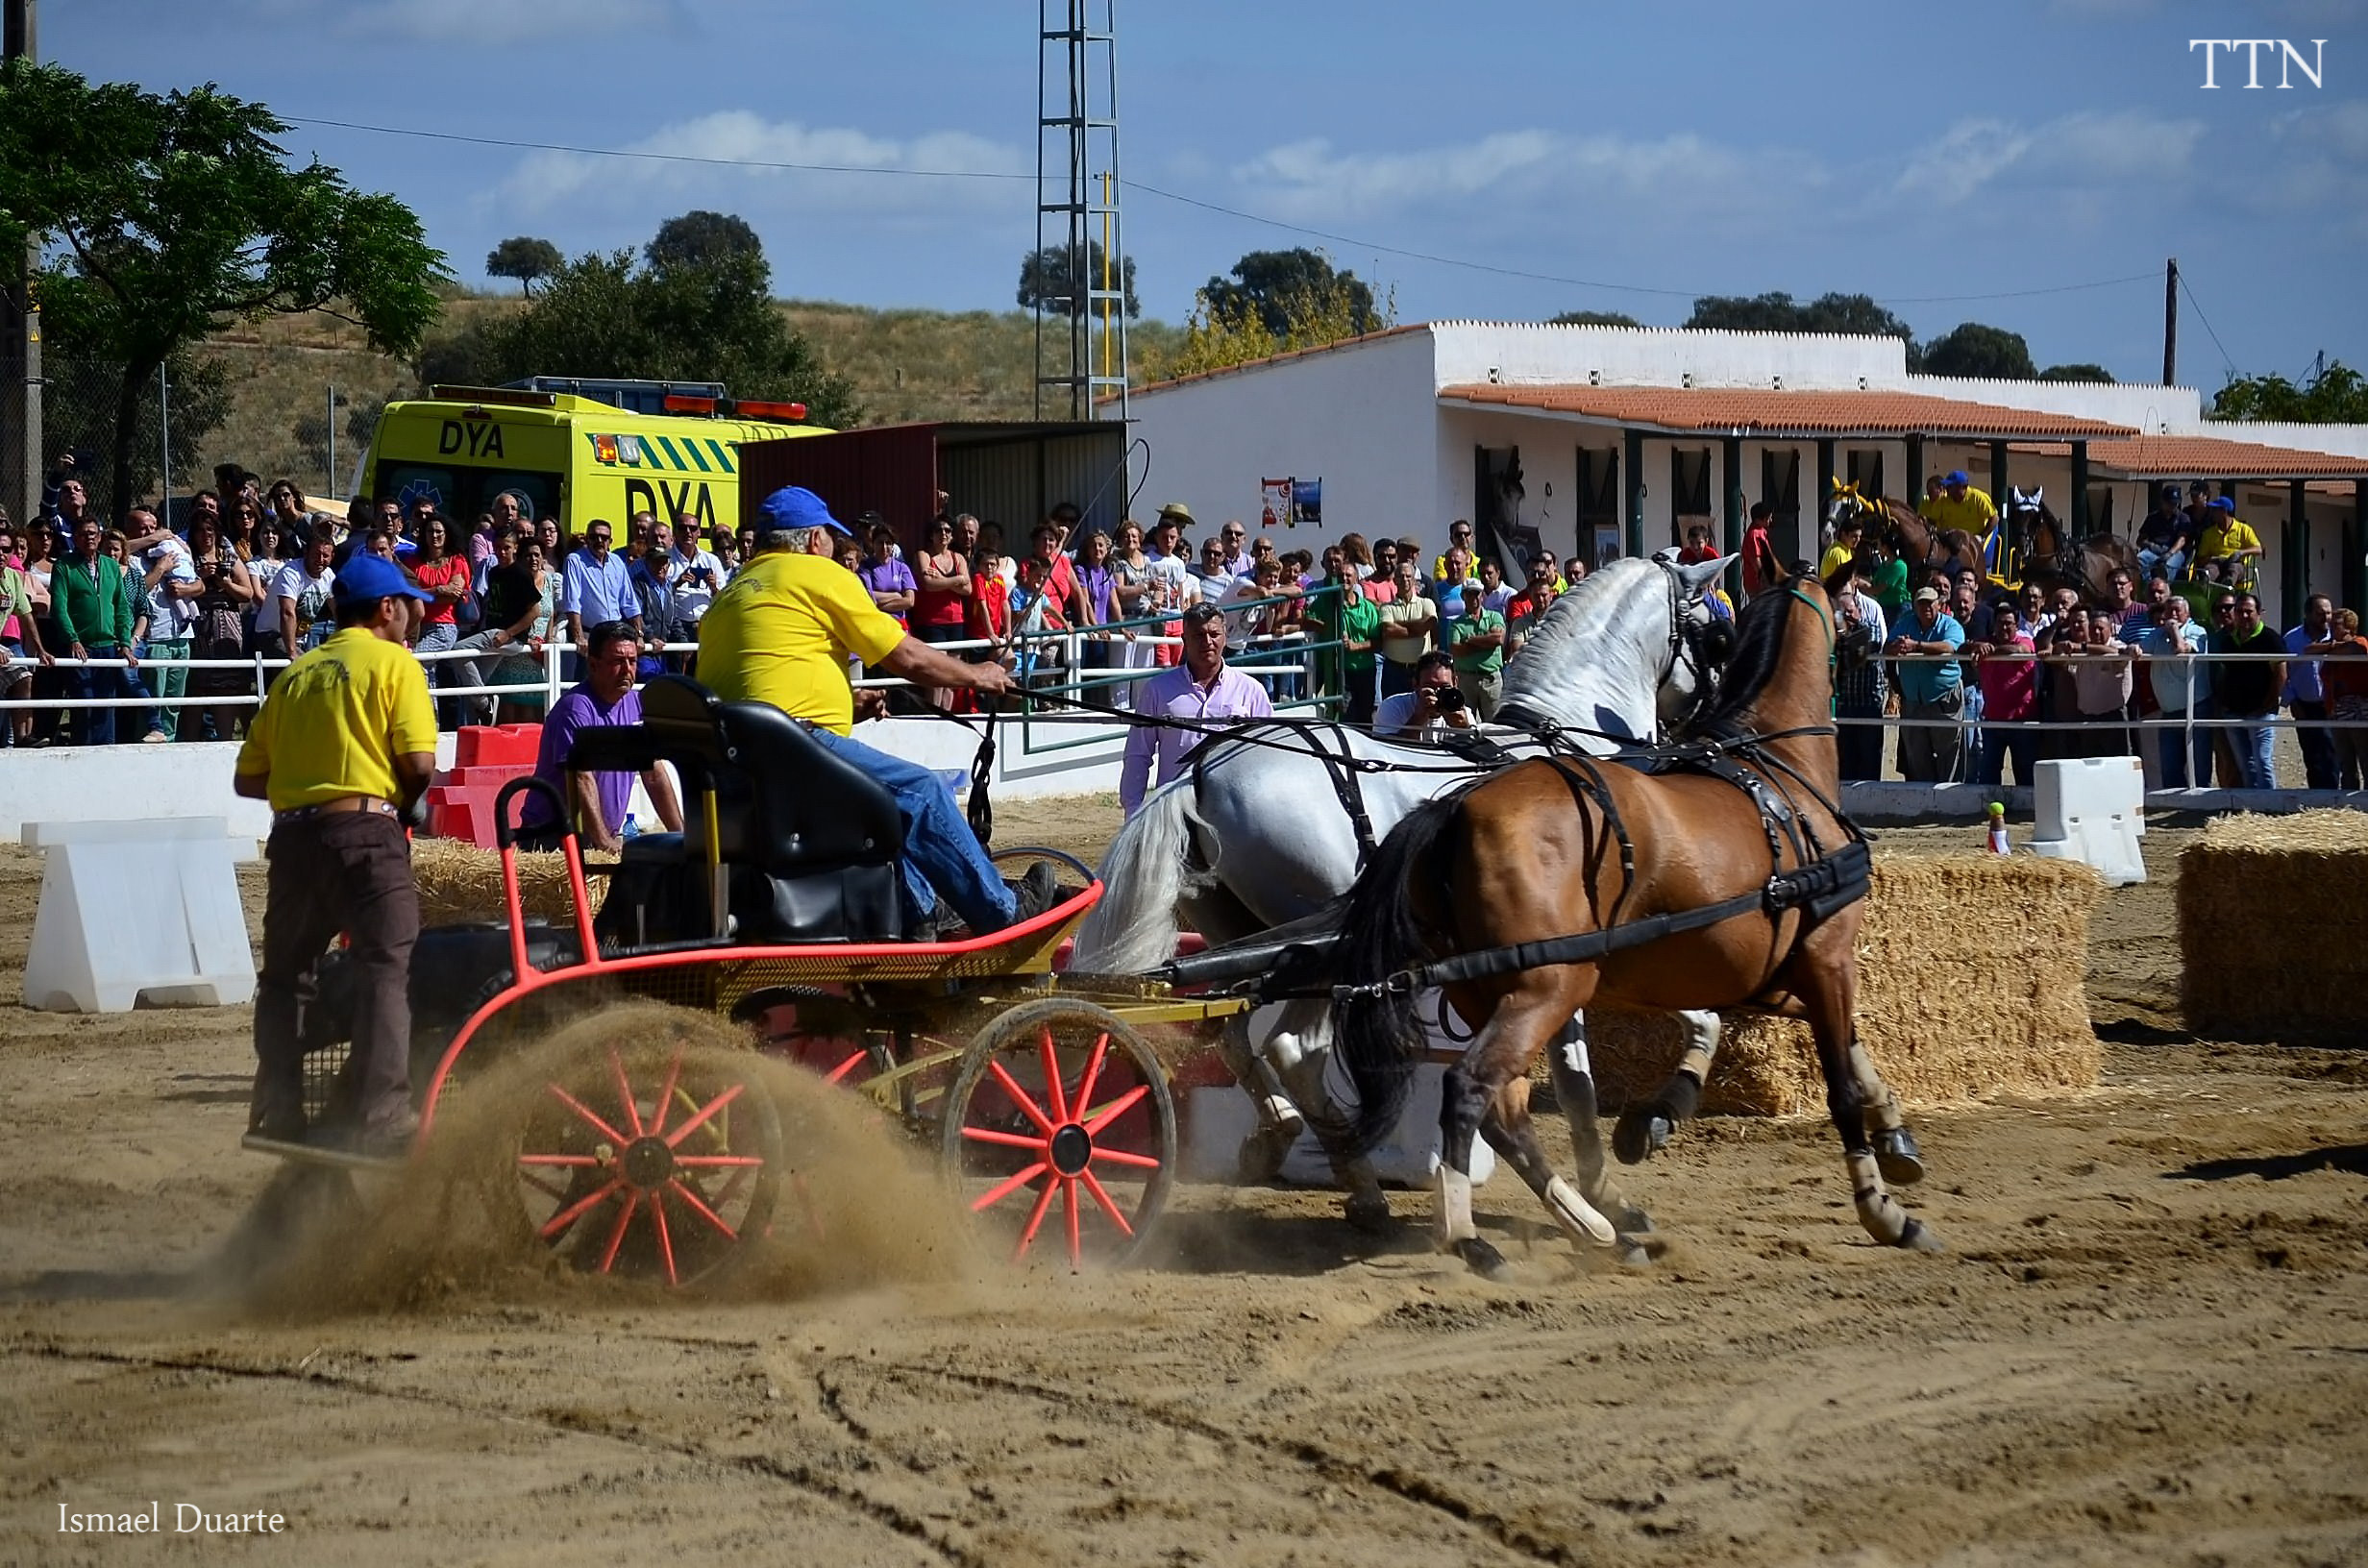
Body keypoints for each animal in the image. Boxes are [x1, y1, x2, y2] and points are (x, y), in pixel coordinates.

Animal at [1070, 556, 1723, 1240]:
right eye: (1713, 631)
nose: (1710, 720)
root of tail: (1197, 777)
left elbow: (1621, 1053)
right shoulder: (1588, 945)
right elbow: (1614, 1063)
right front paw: (1630, 1156)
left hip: (1242, 939)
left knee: (1231, 1033)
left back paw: (1288, 1140)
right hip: (1322, 951)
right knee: (1295, 1050)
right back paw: (1357, 1180)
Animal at [1335, 576, 1941, 1279]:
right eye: (1852, 610)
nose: (1878, 647)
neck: (1777, 767)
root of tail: (1455, 810)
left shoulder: (1772, 975)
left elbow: (1845, 1048)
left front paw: (1895, 1133)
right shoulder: (1827, 959)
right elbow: (1838, 1079)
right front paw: (1883, 1209)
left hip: (1487, 989)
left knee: (1505, 1112)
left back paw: (1595, 1227)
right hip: (1549, 985)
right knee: (1469, 1088)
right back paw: (1472, 1236)